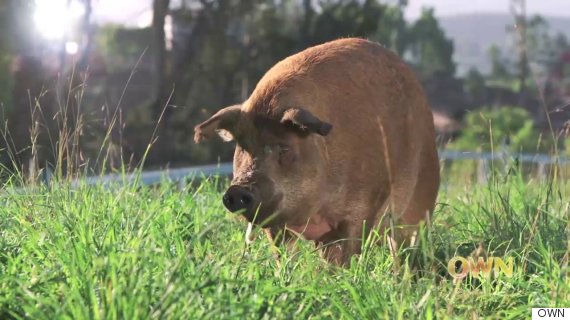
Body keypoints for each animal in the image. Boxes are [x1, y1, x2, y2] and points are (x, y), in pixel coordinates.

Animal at [193, 37, 438, 266]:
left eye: (284, 147)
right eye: (243, 147)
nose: (237, 190)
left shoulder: (363, 207)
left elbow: (349, 250)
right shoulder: (280, 224)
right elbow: (283, 255)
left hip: (422, 193)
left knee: (406, 243)